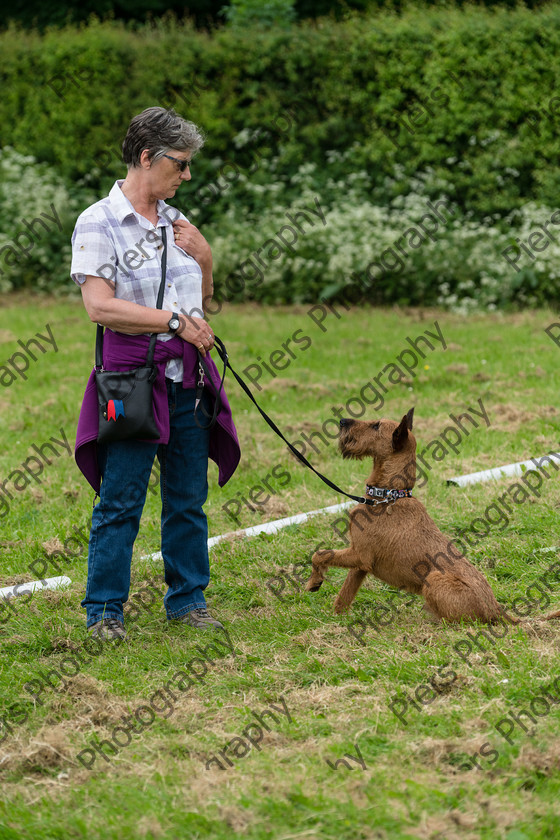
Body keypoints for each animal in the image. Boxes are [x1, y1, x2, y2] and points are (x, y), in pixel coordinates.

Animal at [306, 410, 516, 620]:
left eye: (376, 426)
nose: (342, 421)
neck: (388, 496)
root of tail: (496, 610)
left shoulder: (359, 555)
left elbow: (319, 555)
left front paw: (314, 581)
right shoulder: (359, 564)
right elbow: (345, 594)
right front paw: (334, 616)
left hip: (434, 578)